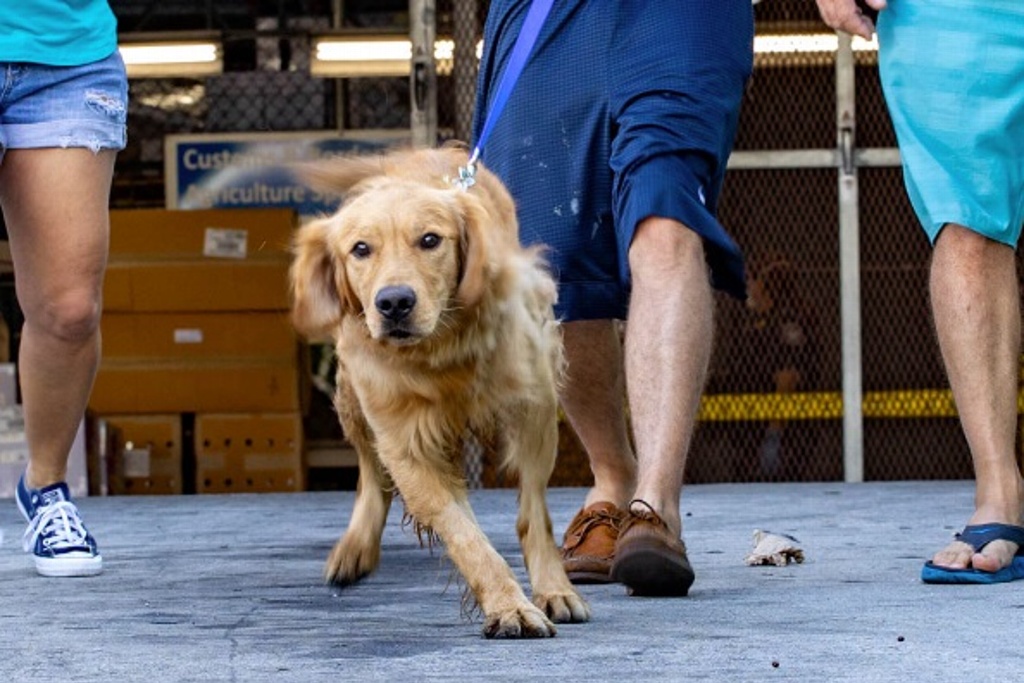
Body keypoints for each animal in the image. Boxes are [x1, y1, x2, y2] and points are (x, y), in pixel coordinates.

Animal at [288, 147, 593, 638]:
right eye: (360, 249)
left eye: (430, 240)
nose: (394, 303)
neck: (441, 350)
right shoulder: (407, 442)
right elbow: (464, 533)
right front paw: (508, 604)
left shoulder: (534, 406)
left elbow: (535, 511)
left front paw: (553, 589)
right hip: (352, 396)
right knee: (372, 474)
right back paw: (356, 548)